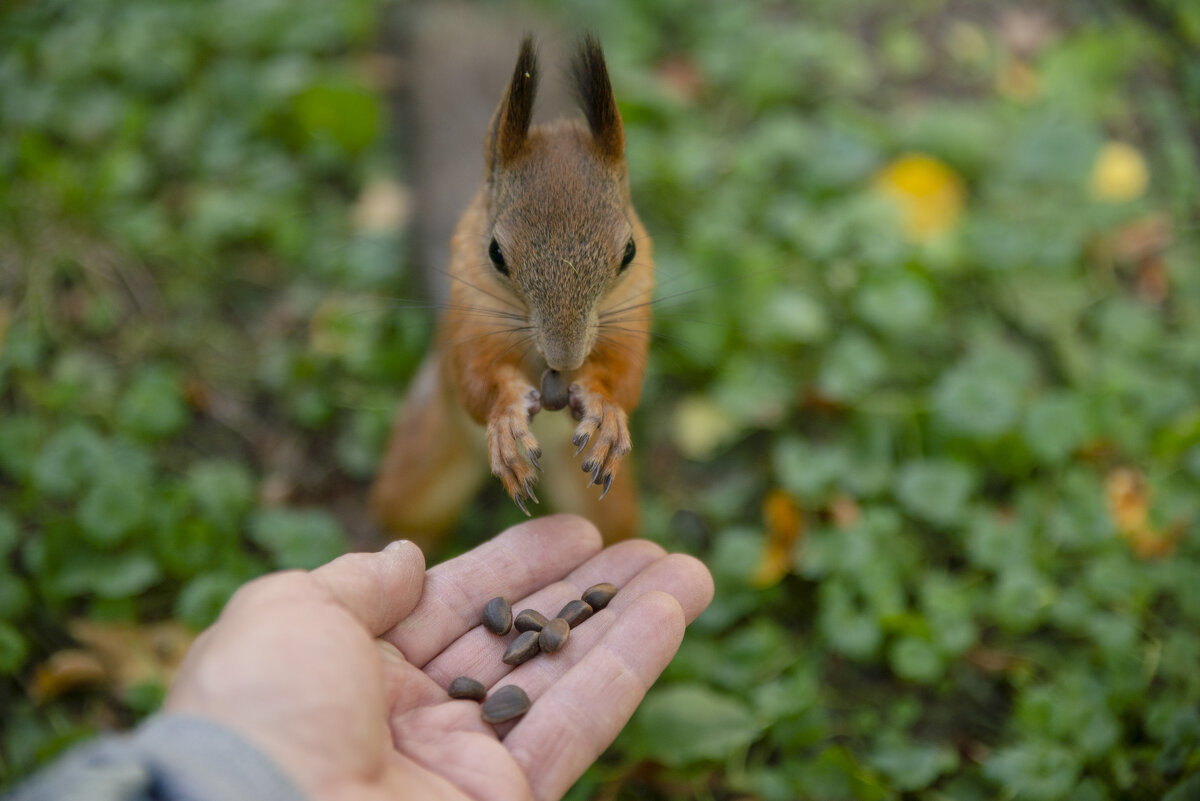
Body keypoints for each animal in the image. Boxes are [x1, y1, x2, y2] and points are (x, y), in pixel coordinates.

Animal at [372, 29, 657, 544]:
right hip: (421, 459)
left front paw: (605, 410)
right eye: (496, 254)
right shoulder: (470, 317)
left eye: (628, 251)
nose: (566, 360)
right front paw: (505, 419)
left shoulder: (633, 310)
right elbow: (476, 380)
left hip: (608, 511)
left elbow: (626, 379)